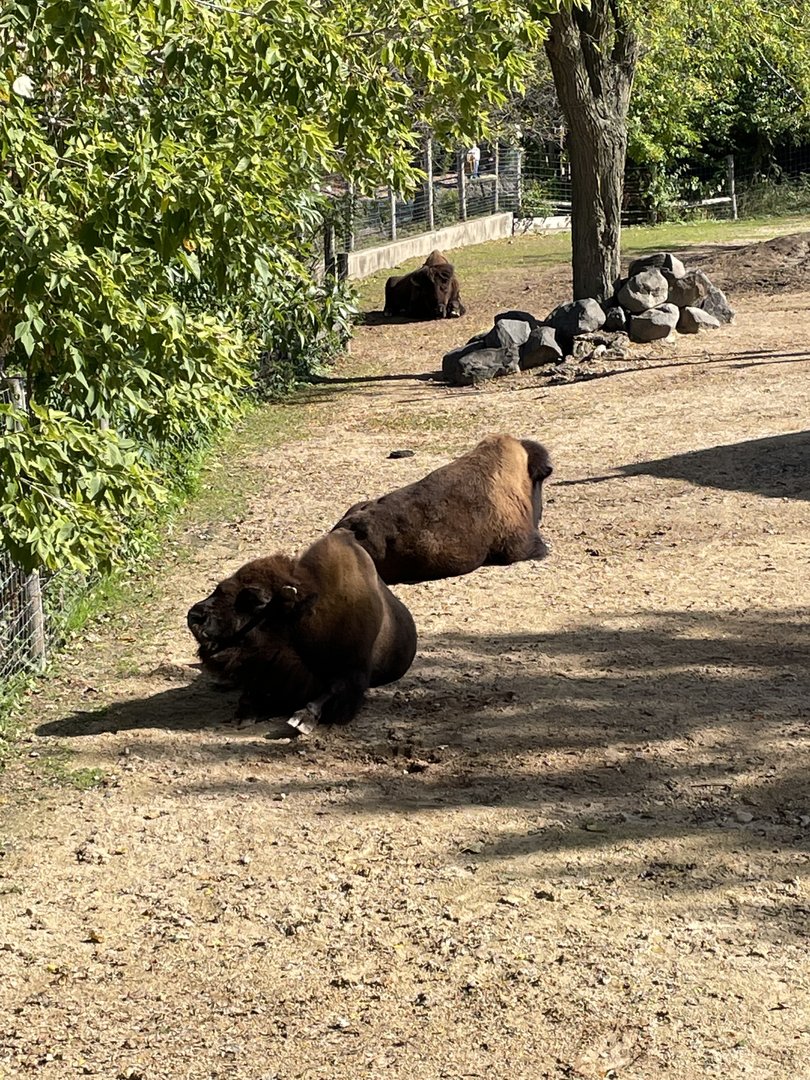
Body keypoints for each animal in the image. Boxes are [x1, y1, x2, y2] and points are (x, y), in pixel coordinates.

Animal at [187, 530, 417, 733]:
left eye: (254, 600)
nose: (194, 616)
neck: (304, 619)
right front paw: (244, 715)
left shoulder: (353, 673)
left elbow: (329, 692)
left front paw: (300, 721)